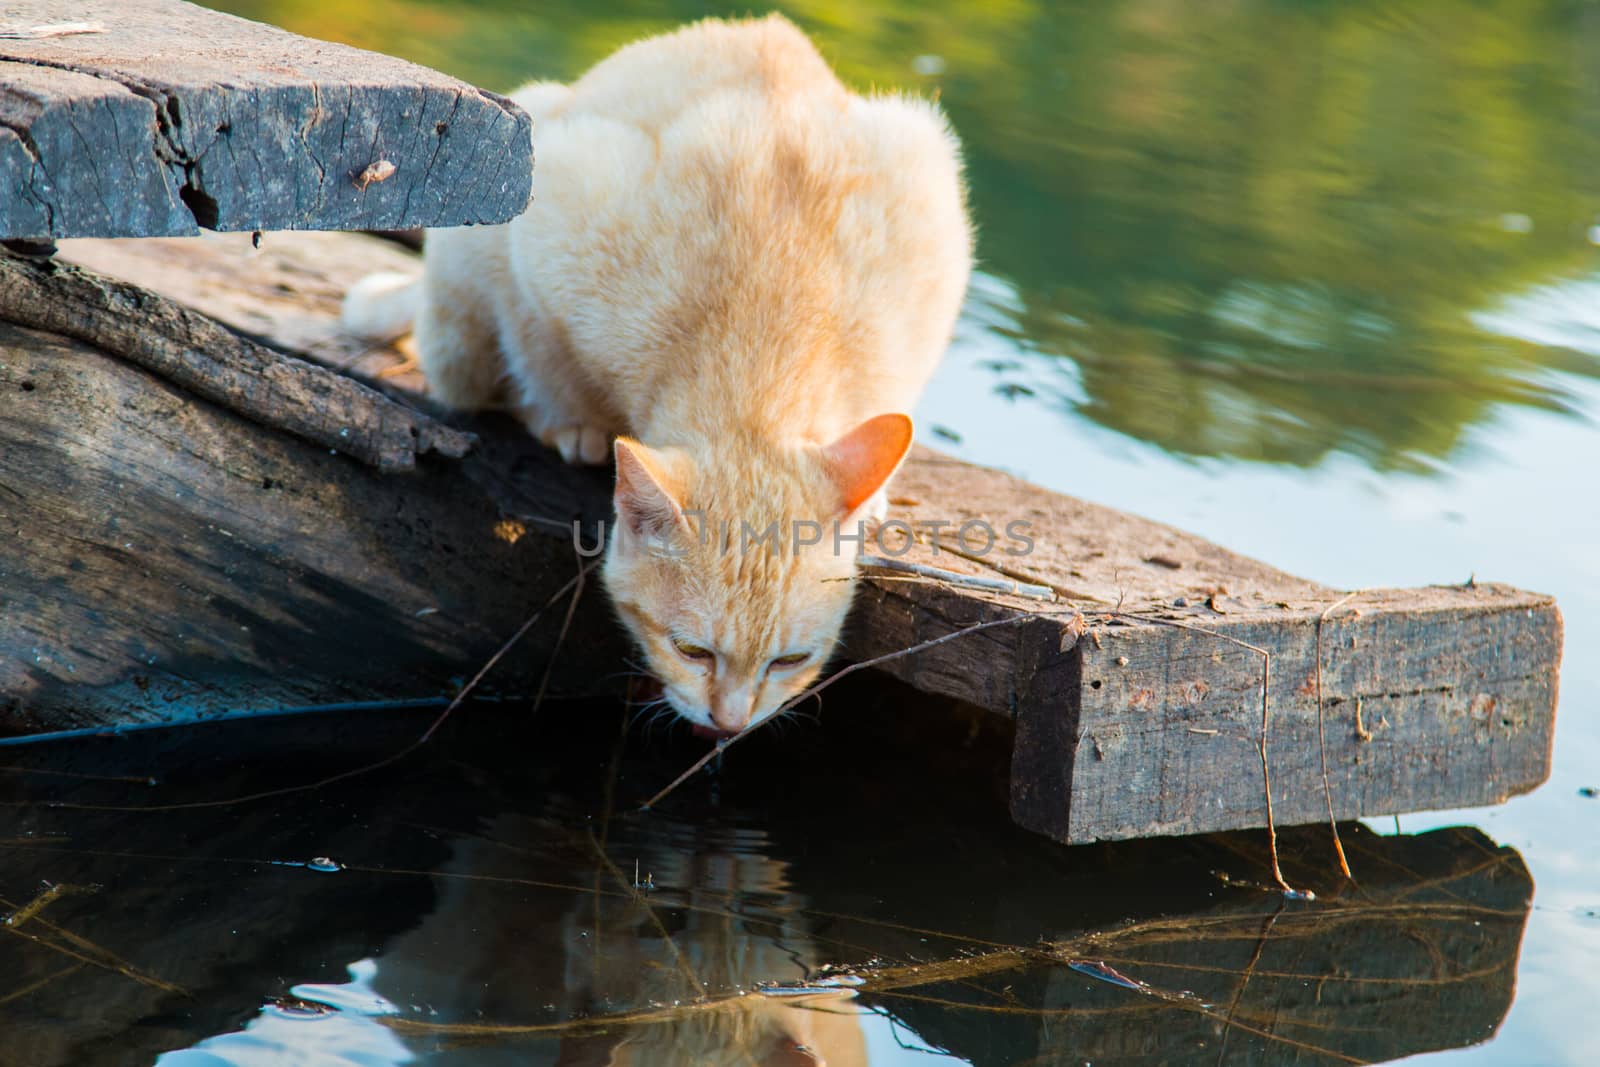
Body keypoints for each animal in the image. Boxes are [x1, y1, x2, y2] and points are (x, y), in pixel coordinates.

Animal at [347, 12, 972, 739]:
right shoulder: (545, 210)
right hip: (470, 279)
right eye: (690, 649)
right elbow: (541, 351)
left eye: (789, 660)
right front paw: (571, 421)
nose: (728, 723)